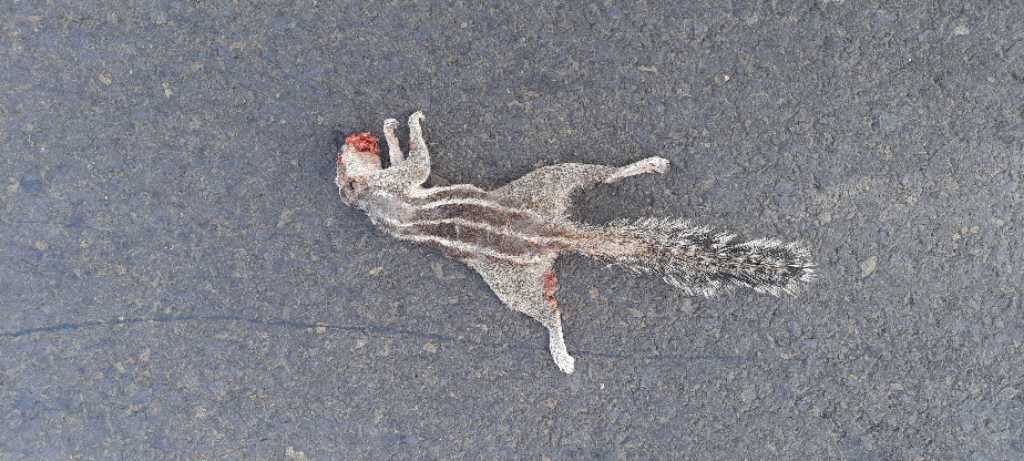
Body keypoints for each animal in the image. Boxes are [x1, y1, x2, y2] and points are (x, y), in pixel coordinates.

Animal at [336, 111, 815, 374]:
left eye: (344, 155)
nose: (354, 140)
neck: (365, 197)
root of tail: (547, 230)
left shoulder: (393, 184)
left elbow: (411, 162)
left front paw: (391, 132)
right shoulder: (395, 185)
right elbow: (419, 162)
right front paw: (410, 126)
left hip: (550, 186)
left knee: (601, 176)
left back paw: (648, 164)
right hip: (515, 273)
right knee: (545, 311)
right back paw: (560, 349)